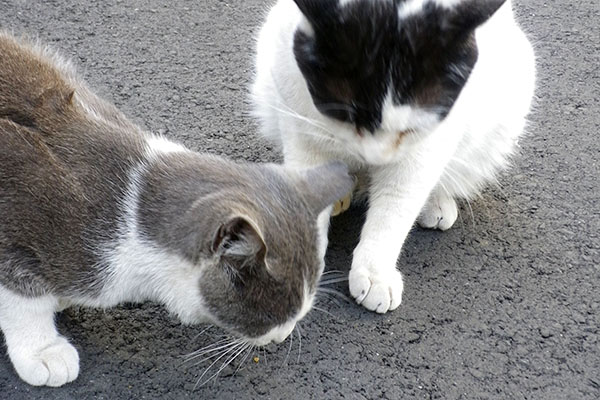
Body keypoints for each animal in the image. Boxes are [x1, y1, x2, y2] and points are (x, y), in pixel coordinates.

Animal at [251, 0, 536, 312]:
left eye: (409, 130)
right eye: (348, 117)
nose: (377, 158)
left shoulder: (425, 146)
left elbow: (393, 210)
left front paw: (375, 273)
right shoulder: (301, 126)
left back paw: (434, 203)